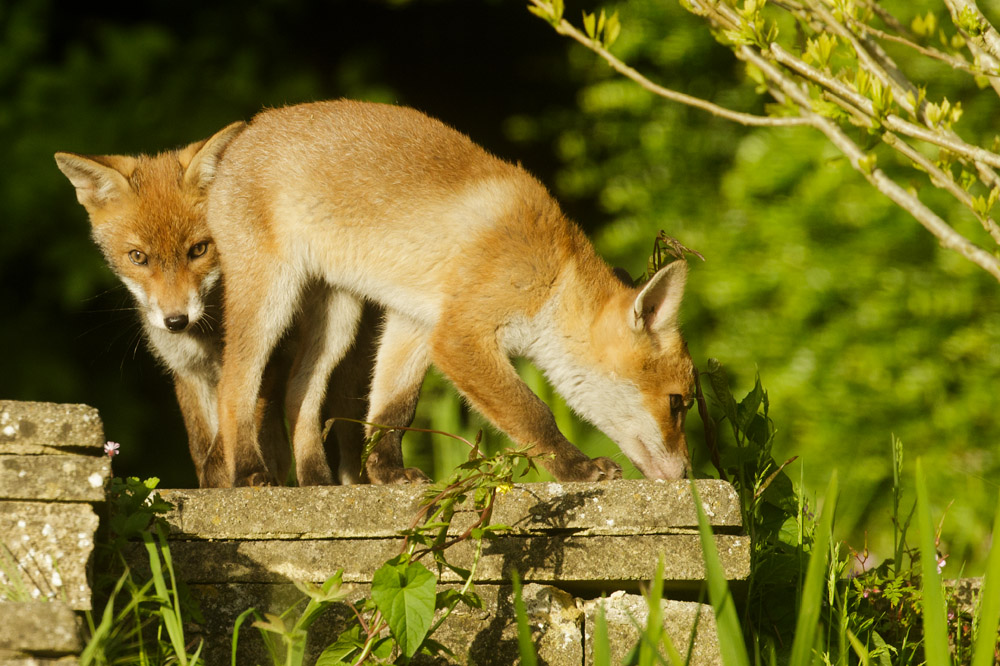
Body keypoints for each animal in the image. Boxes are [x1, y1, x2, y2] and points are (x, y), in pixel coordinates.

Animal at [54, 127, 374, 486]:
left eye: (199, 249)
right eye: (138, 257)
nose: (175, 321)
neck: (204, 336)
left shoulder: (260, 365)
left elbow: (221, 447)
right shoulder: (189, 373)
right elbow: (201, 446)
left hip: (345, 376)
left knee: (349, 445)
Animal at [202, 99, 696, 488]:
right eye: (677, 404)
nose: (687, 475)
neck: (553, 276)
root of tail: (251, 125)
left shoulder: (418, 322)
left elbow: (393, 409)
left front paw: (387, 474)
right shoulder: (459, 337)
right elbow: (533, 412)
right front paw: (577, 469)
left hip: (338, 317)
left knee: (298, 392)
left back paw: (316, 480)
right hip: (271, 299)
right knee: (233, 386)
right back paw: (249, 471)